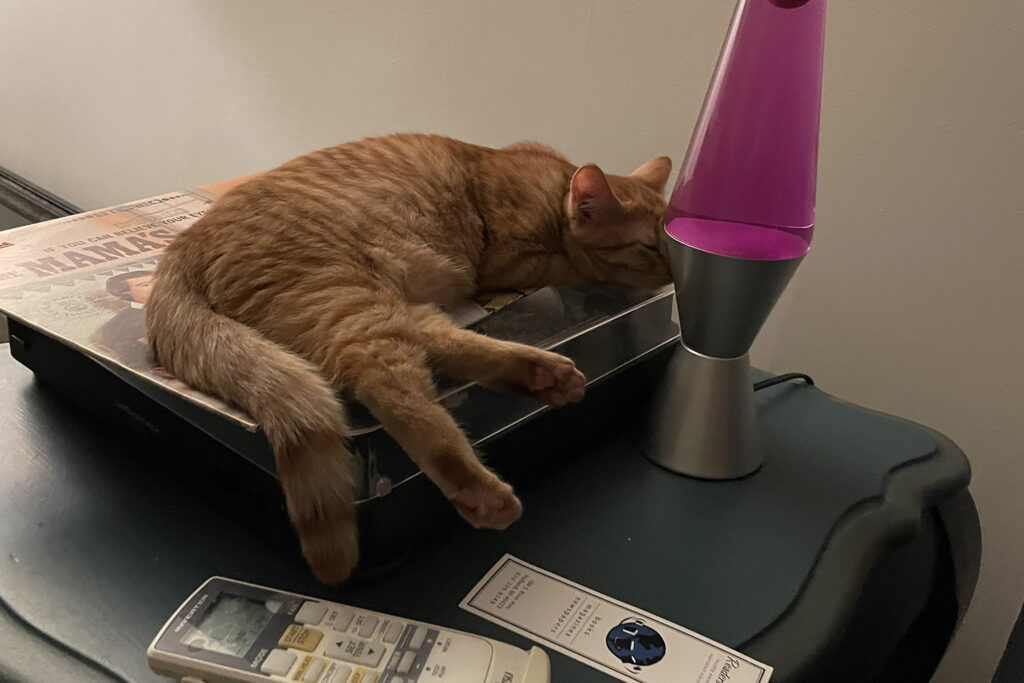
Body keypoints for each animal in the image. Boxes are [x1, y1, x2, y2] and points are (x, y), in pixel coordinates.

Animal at [146, 133, 671, 581]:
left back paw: (544, 375)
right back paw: (482, 487)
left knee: (429, 340)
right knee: (391, 382)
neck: (552, 188)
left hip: (377, 303)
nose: (674, 272)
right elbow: (577, 266)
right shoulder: (511, 267)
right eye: (649, 247)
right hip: (350, 299)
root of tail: (182, 245)